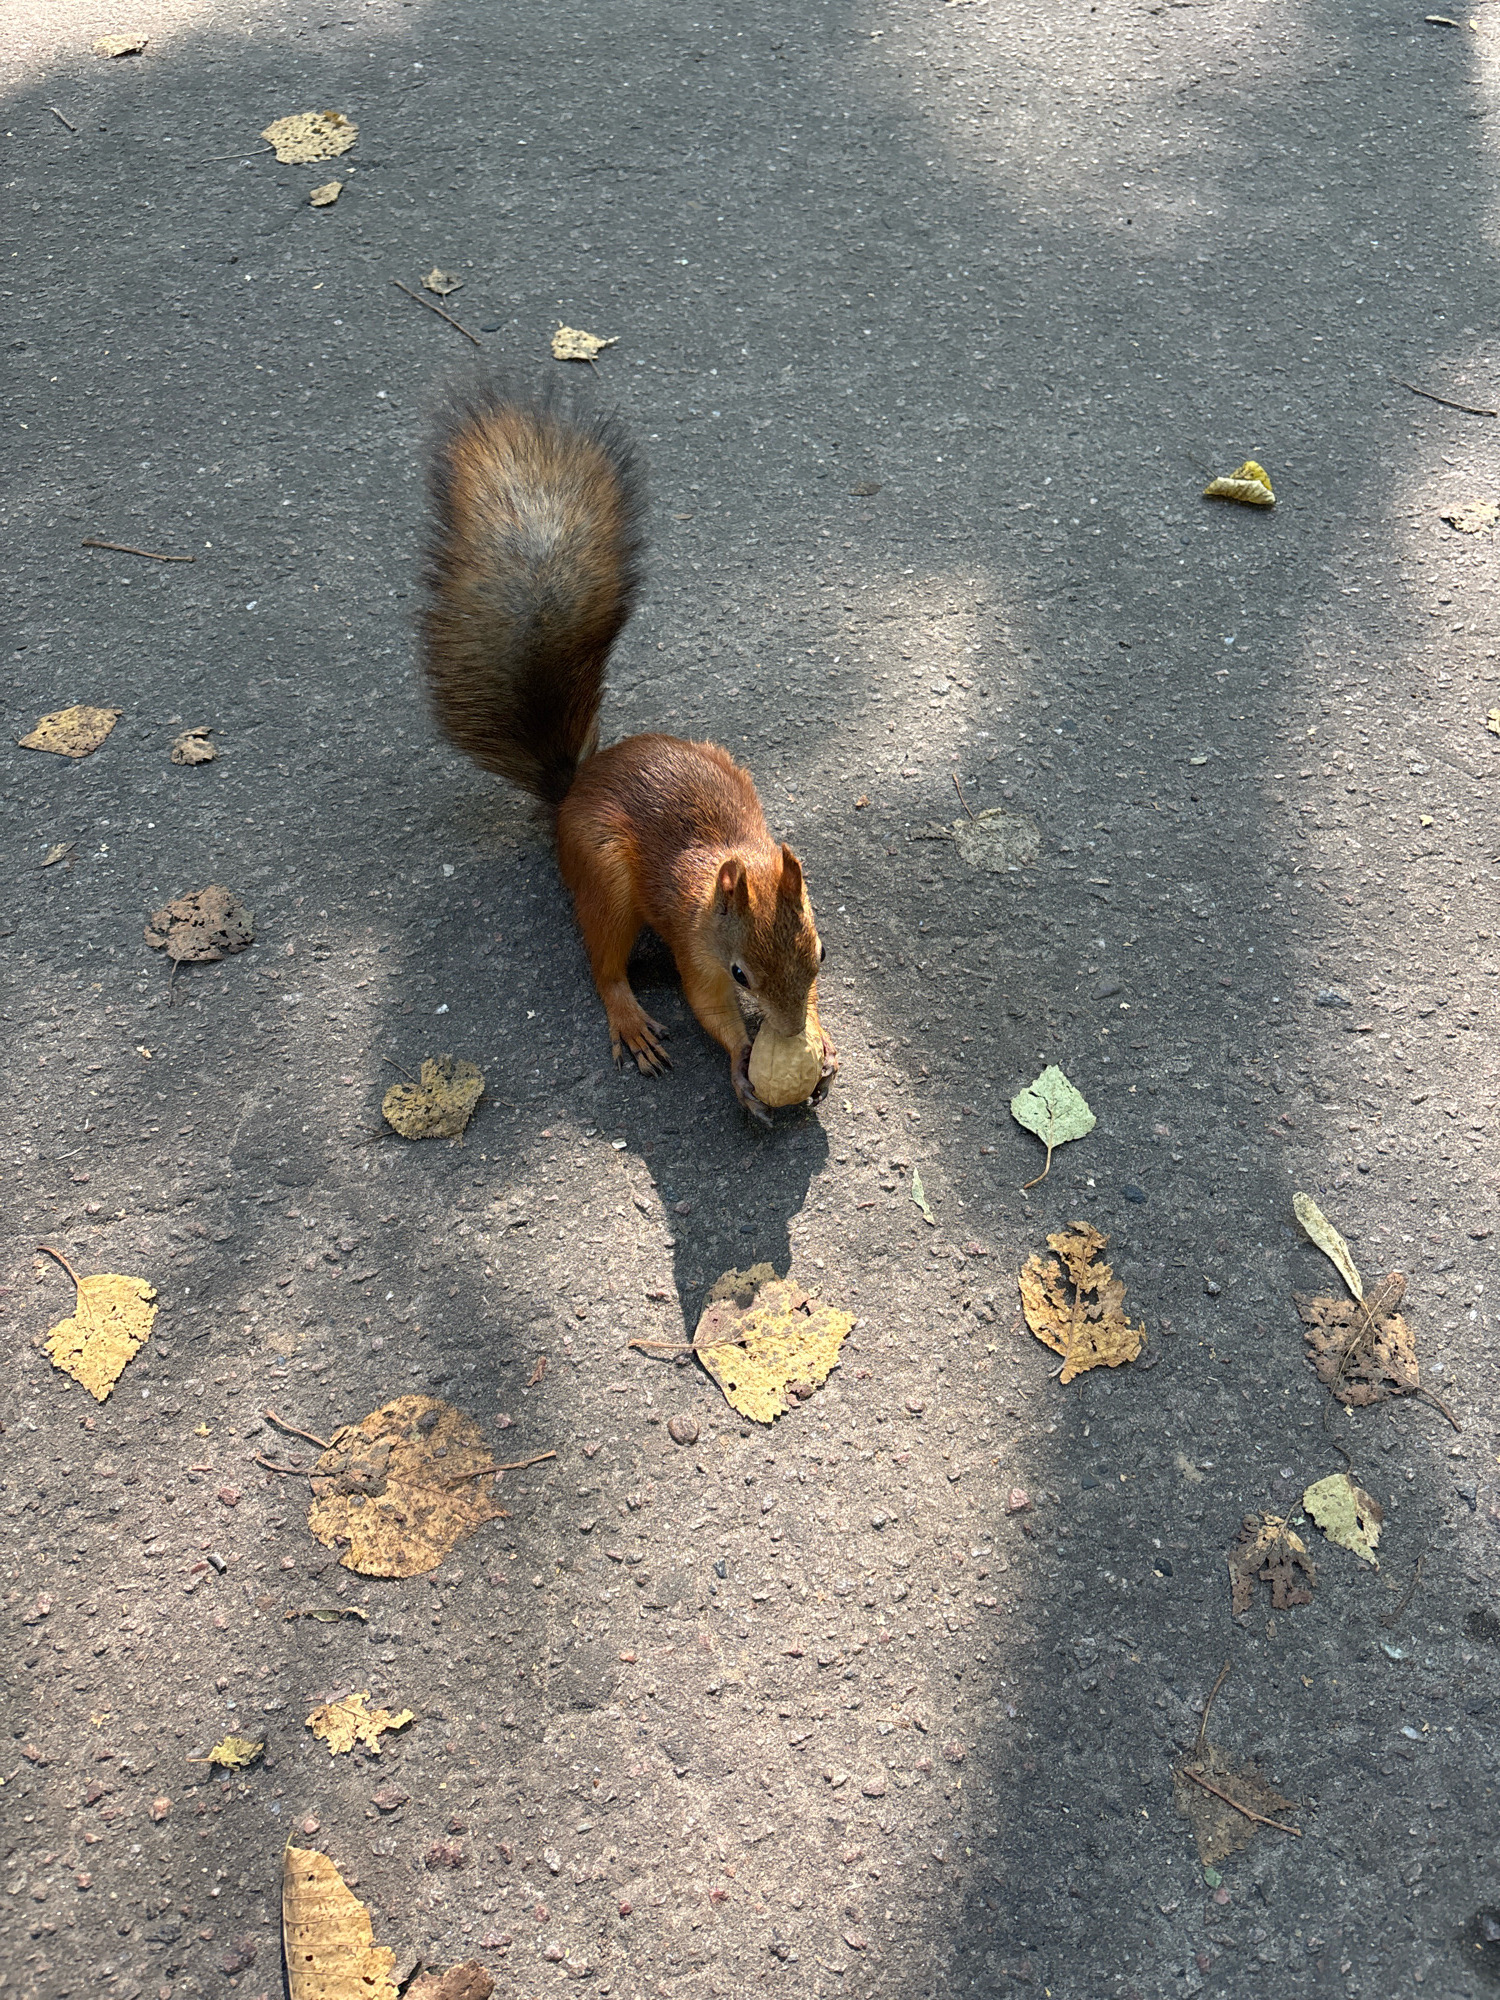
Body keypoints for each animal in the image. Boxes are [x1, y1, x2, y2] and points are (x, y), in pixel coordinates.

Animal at [422, 379, 837, 1125]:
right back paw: (629, 1019)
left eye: (820, 952)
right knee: (603, 964)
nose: (789, 1032)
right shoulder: (695, 947)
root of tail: (576, 786)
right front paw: (742, 1064)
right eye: (740, 972)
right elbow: (706, 1006)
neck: (733, 871)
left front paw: (823, 1040)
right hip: (603, 874)